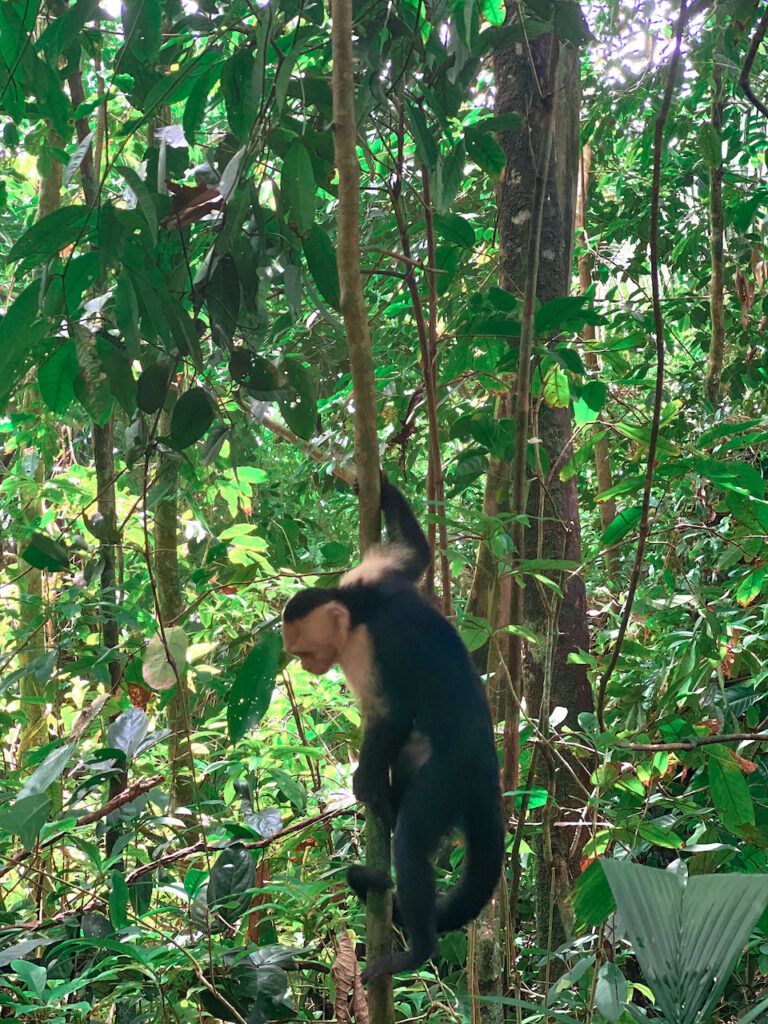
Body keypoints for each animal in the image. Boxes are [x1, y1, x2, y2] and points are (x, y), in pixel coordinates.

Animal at [282, 479, 505, 983]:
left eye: (304, 651)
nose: (304, 667)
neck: (360, 608)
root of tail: (488, 765)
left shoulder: (363, 645)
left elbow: (393, 716)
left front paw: (363, 784)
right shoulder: (370, 577)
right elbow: (415, 552)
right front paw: (373, 480)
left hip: (449, 779)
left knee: (412, 836)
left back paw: (418, 948)